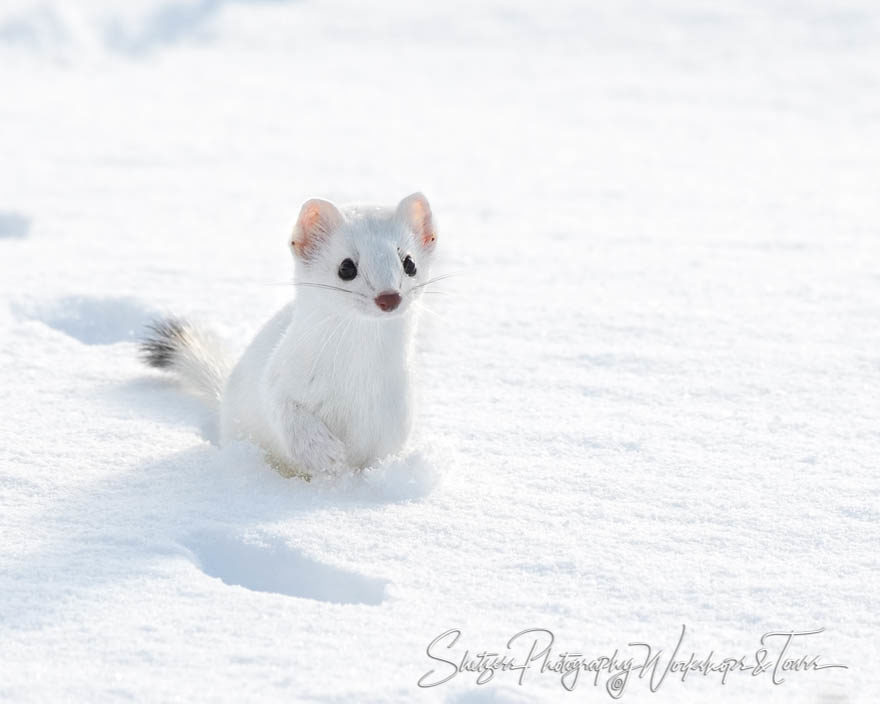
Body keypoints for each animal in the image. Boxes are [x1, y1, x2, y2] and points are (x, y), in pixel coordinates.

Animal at [144, 192, 440, 478]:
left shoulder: (394, 421)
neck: (356, 382)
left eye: (409, 262)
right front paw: (324, 453)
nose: (389, 297)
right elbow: (287, 413)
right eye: (346, 267)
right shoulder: (279, 380)